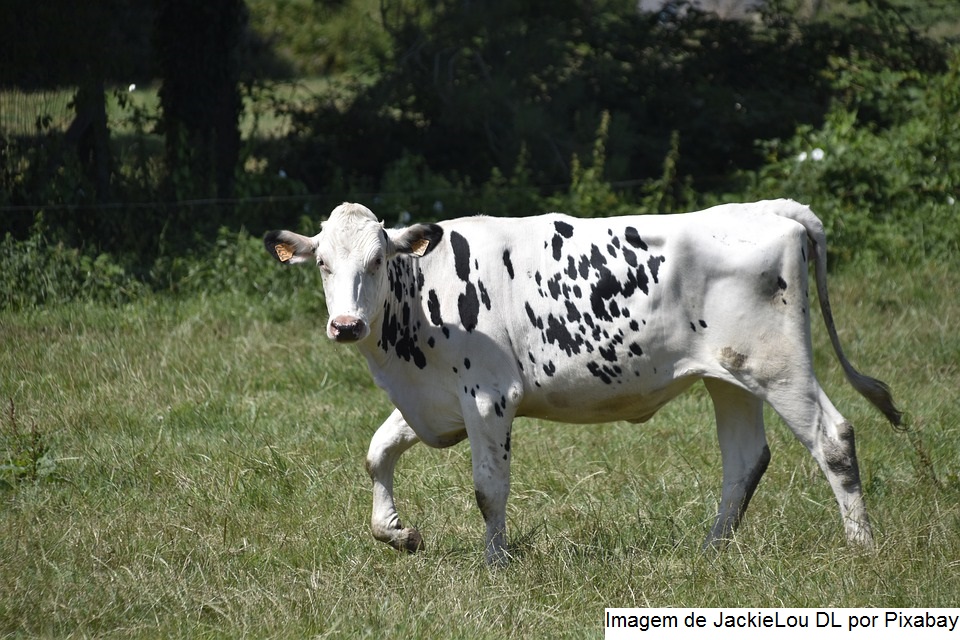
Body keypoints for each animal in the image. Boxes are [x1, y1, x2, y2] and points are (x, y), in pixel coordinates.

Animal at [264, 199, 901, 566]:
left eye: (376, 261)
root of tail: (773, 209)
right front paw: (399, 534)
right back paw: (711, 552)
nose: (347, 325)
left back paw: (862, 548)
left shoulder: (489, 397)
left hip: (780, 367)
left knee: (833, 439)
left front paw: (495, 566)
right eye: (324, 265)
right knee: (745, 459)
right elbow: (377, 453)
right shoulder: (433, 402)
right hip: (732, 376)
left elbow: (488, 488)